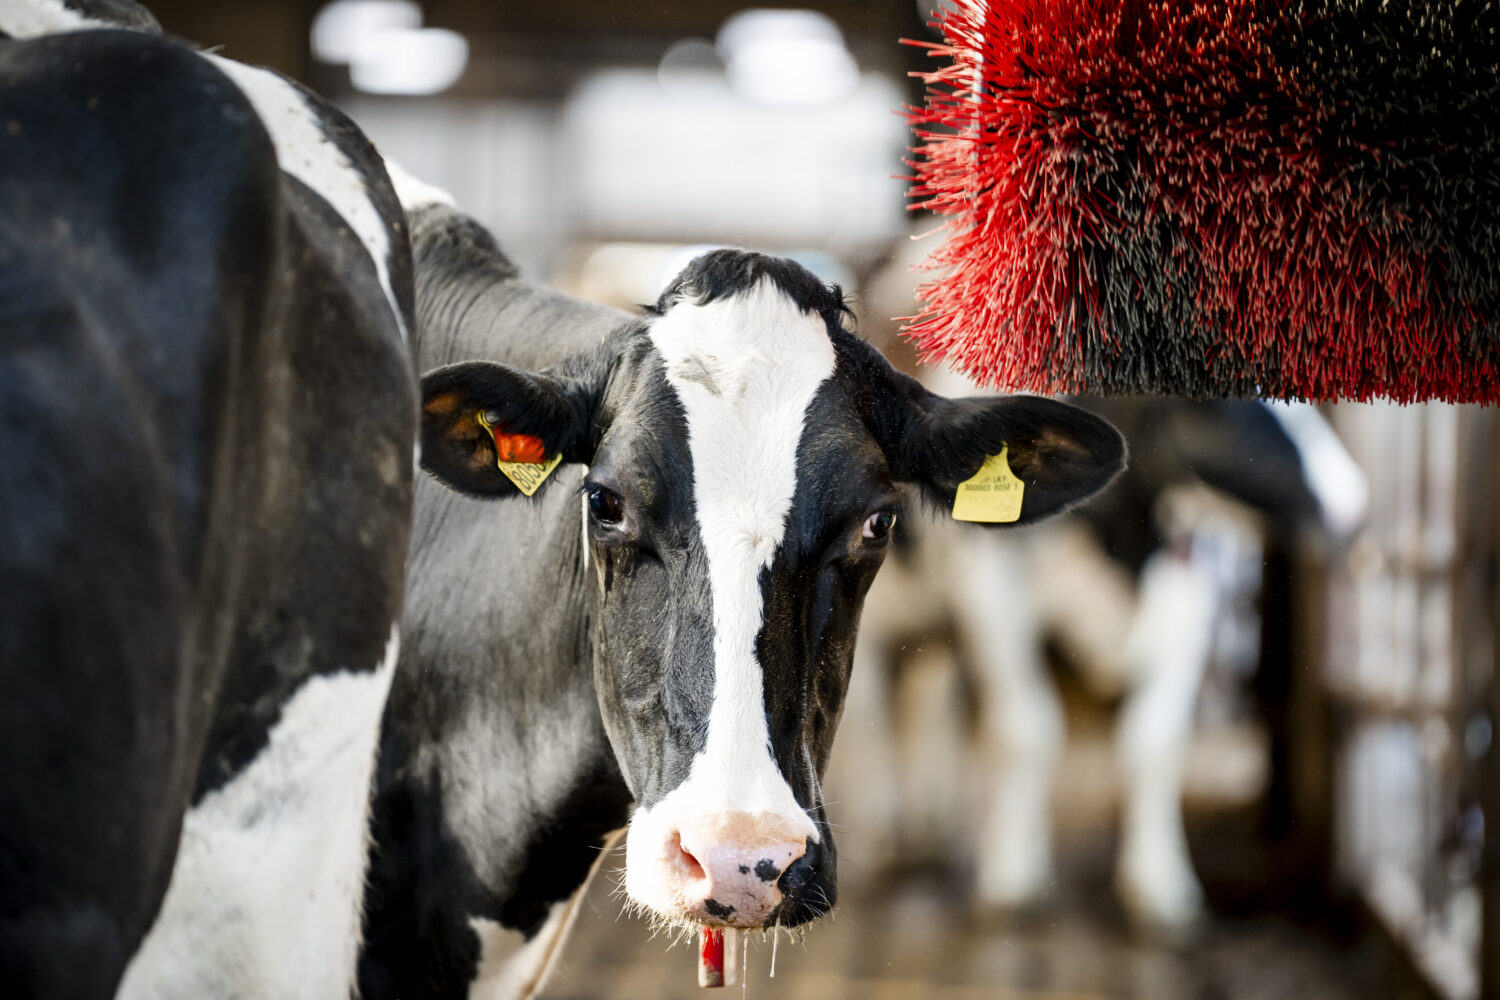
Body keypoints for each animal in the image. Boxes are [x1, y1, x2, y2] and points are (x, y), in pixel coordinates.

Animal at [831, 374, 1367, 941]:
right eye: (1218, 396)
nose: (1351, 509)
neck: (1128, 538)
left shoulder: (1192, 590)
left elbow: (1153, 743)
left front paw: (1158, 884)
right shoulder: (995, 590)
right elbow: (1027, 730)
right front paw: (1013, 871)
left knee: (930, 701)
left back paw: (932, 825)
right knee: (870, 711)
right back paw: (884, 830)